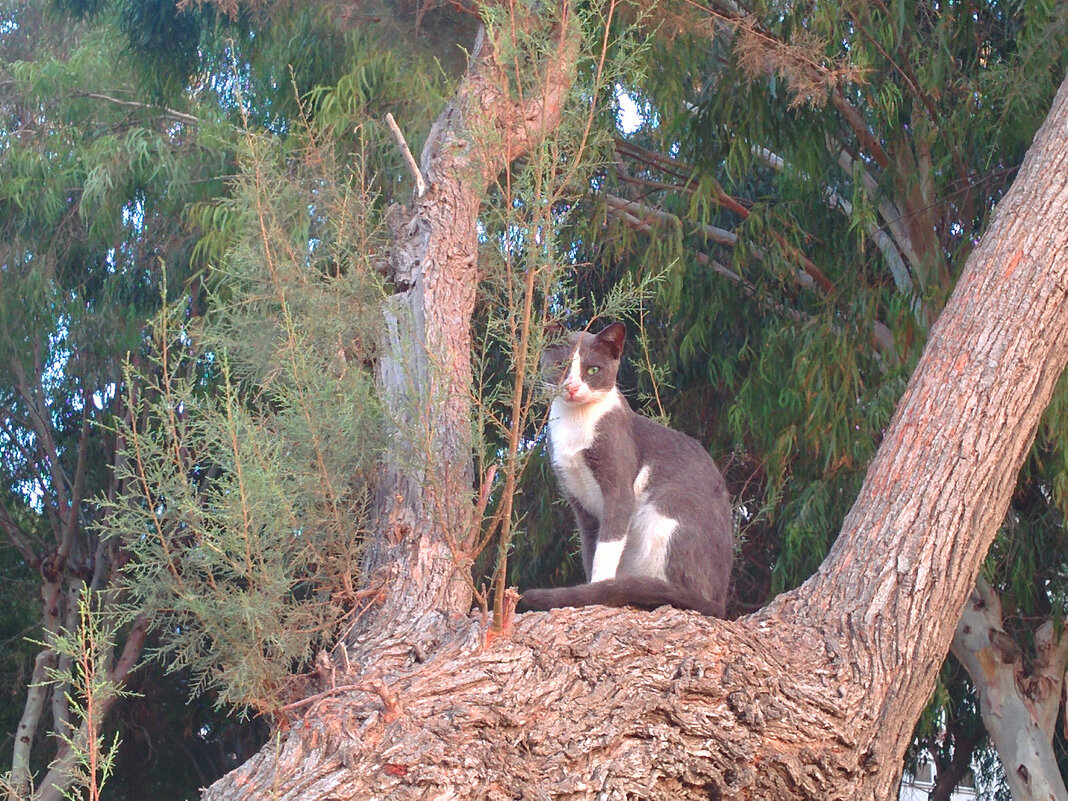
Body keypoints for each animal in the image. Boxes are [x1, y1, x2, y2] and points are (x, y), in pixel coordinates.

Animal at [519, 322, 734, 619]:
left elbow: (607, 546)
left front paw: (596, 590)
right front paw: (591, 587)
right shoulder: (578, 502)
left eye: (592, 370)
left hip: (666, 512)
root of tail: (720, 602)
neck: (575, 425)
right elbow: (590, 549)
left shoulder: (619, 483)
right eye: (562, 365)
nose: (572, 387)